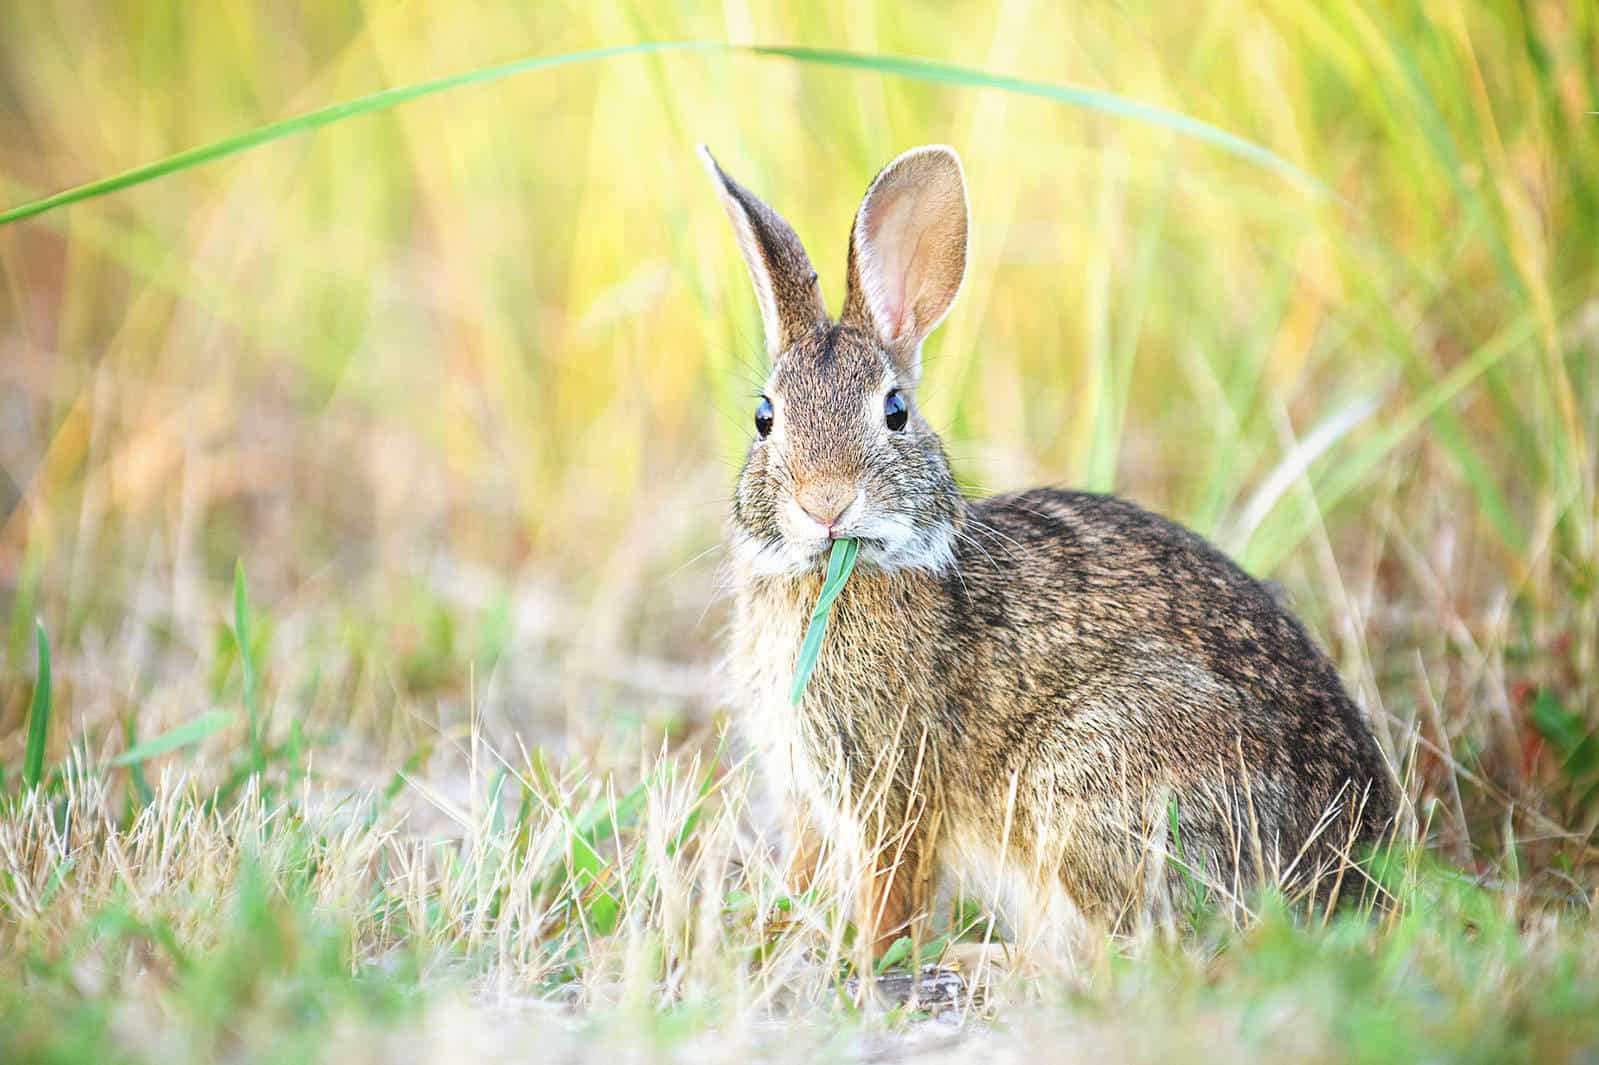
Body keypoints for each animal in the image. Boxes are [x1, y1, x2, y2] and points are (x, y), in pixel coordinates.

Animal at [700, 143, 1387, 953]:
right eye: (764, 416)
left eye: (895, 412)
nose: (826, 504)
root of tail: (1353, 868)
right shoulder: (806, 788)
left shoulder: (894, 785)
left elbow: (890, 884)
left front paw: (865, 955)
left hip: (1094, 772)